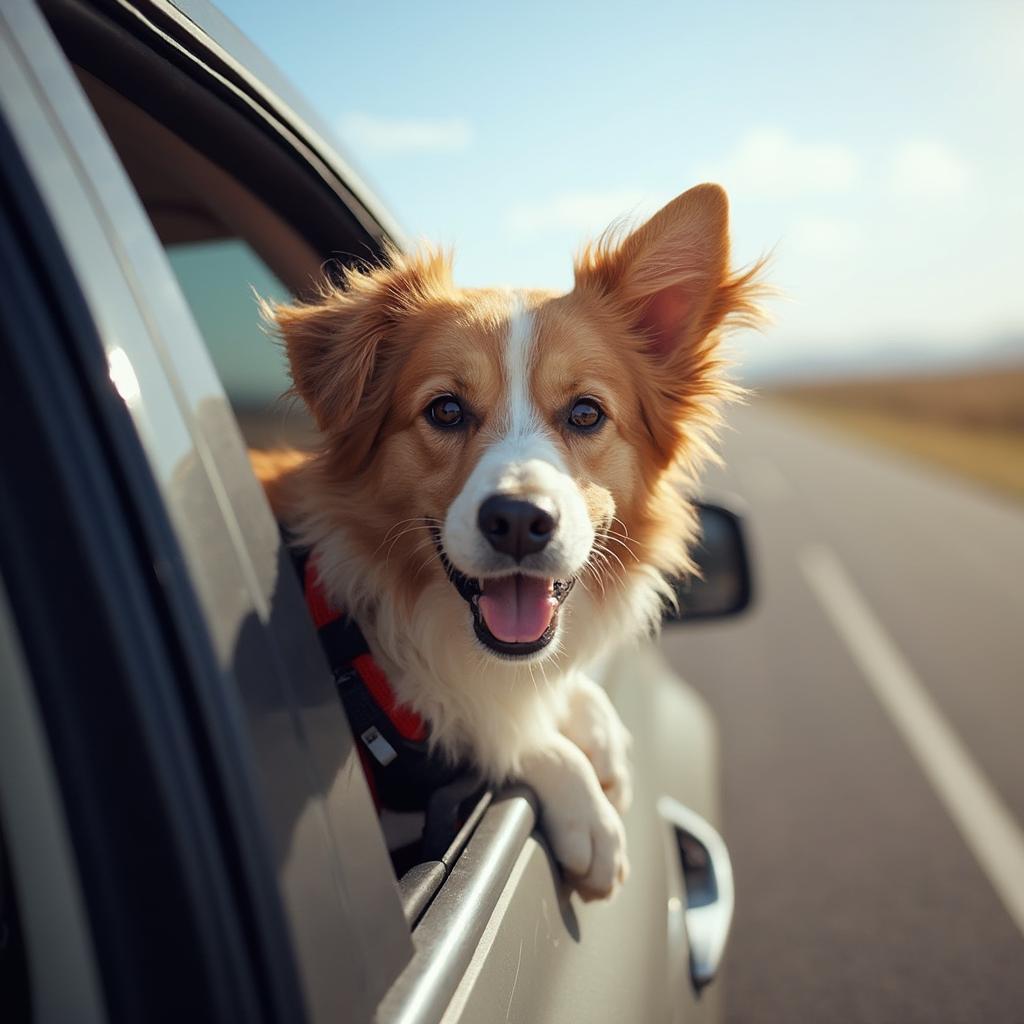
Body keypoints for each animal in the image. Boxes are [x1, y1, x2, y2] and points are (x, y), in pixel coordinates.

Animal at [258, 182, 761, 897]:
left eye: (586, 413)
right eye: (445, 409)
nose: (520, 520)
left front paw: (596, 729)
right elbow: (498, 728)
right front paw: (583, 799)